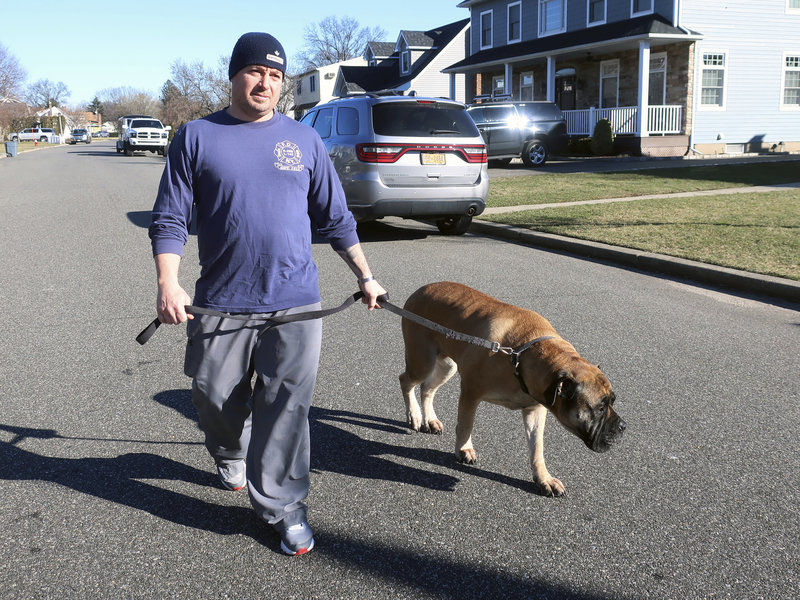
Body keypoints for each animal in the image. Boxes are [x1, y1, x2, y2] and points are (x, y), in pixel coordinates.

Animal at [398, 282, 624, 496]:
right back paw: (414, 415)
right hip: (422, 362)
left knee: (427, 388)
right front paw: (464, 449)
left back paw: (430, 419)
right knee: (406, 381)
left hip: (447, 366)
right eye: (600, 408)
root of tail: (420, 290)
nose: (623, 426)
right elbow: (465, 425)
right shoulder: (471, 393)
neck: (520, 356)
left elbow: (537, 447)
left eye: (612, 401)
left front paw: (544, 478)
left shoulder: (535, 410)